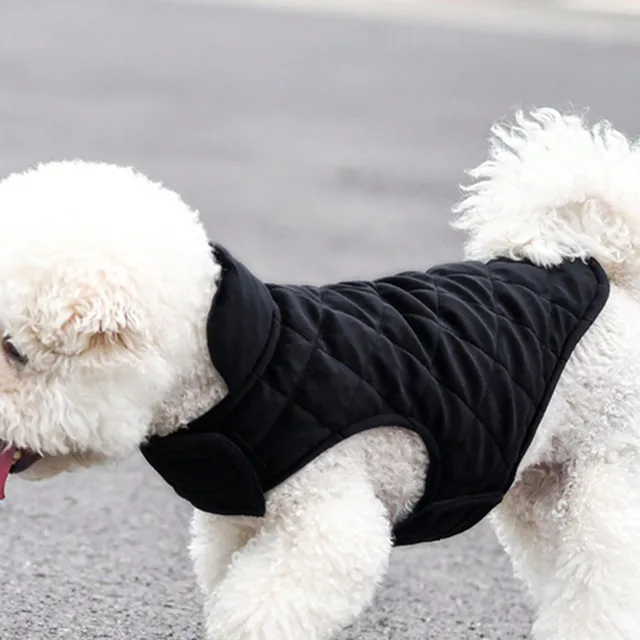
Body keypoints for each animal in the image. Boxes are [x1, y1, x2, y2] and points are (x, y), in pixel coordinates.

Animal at [1, 107, 640, 636]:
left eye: (12, 350)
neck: (230, 368)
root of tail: (603, 271)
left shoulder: (326, 519)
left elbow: (260, 608)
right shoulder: (240, 519)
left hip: (606, 470)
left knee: (602, 572)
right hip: (540, 483)